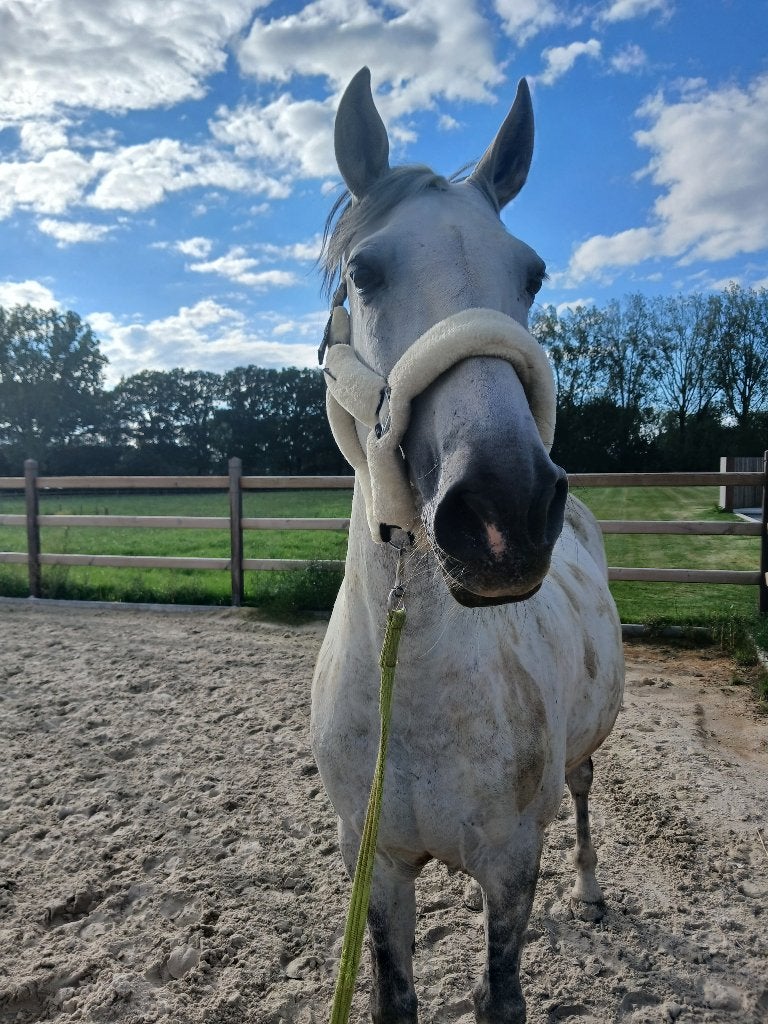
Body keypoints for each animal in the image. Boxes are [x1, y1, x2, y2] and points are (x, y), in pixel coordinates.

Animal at [311, 67, 624, 1024]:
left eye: (532, 273)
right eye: (364, 273)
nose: (503, 512)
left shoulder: (511, 866)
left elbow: (504, 995)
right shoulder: (376, 868)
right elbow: (397, 998)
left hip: (581, 763)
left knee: (583, 800)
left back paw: (589, 892)